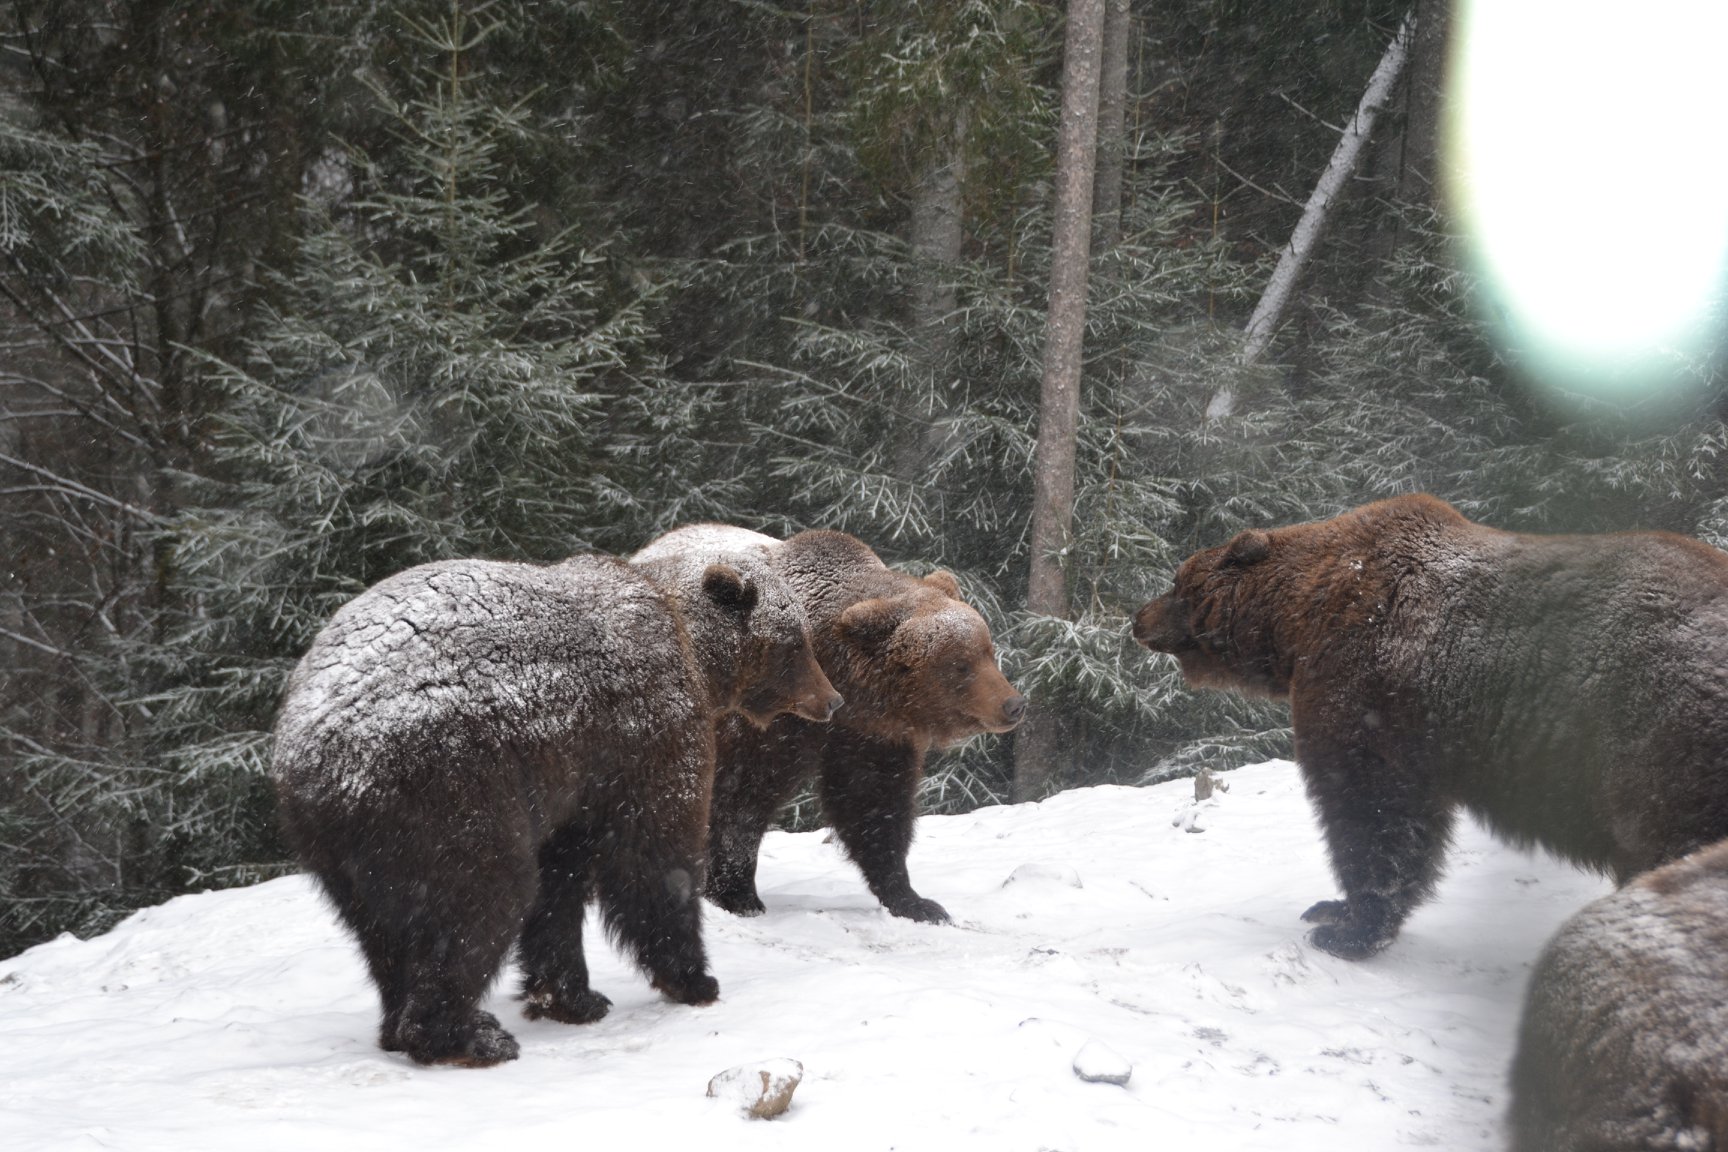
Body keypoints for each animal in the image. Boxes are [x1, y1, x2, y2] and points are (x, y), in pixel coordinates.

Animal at [266, 552, 839, 1070]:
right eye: (797, 641)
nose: (831, 698)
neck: (696, 652)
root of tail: (310, 747)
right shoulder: (646, 731)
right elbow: (655, 859)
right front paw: (694, 978)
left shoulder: (575, 781)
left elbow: (560, 886)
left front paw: (573, 997)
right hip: (447, 787)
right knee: (478, 899)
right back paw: (468, 1037)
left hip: (346, 845)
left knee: (384, 934)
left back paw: (399, 1026)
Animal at [632, 528, 1022, 925]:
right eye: (960, 665)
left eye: (987, 651)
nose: (1013, 704)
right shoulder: (763, 724)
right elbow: (739, 800)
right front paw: (737, 895)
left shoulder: (869, 735)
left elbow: (874, 805)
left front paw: (915, 901)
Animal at [1126, 497, 1728, 967]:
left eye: (1176, 581)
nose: (1136, 617)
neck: (1296, 621)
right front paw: (1331, 908)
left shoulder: (1367, 684)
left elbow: (1373, 810)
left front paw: (1348, 928)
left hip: (1658, 738)